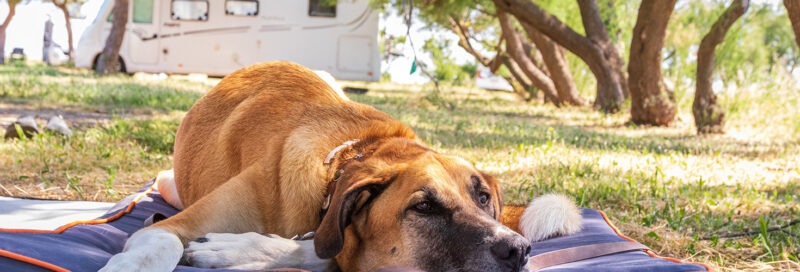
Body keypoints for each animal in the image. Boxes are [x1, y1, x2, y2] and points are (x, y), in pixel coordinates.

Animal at [98, 62, 580, 272]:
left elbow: (317, 249)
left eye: (483, 198)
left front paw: (243, 250)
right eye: (423, 207)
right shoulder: (169, 227)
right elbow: (160, 244)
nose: (518, 251)